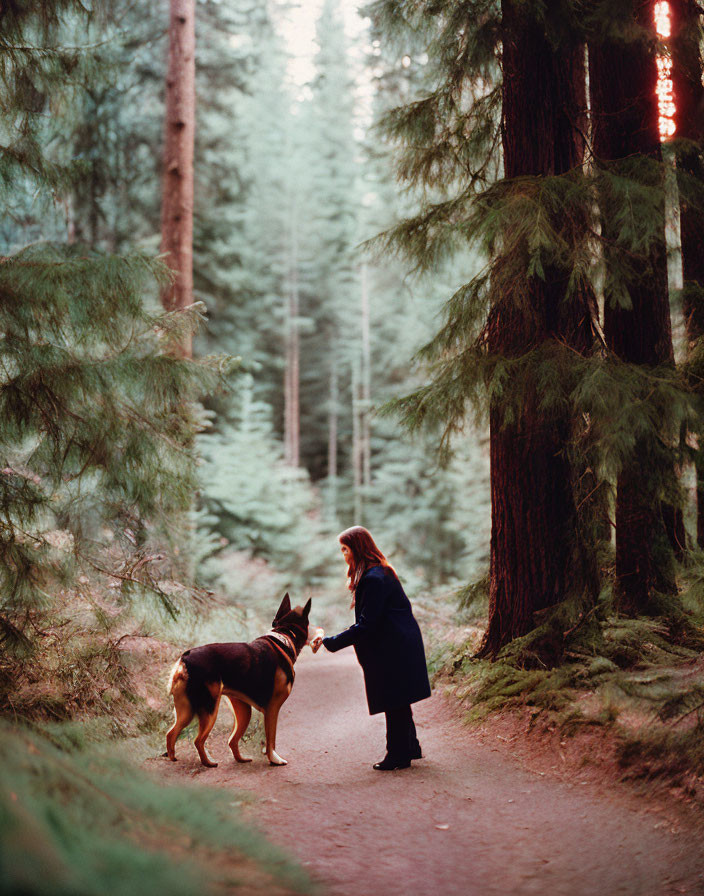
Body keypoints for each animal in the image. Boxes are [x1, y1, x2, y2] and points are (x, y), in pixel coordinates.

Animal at [165, 600, 320, 768]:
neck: (284, 636)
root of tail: (185, 658)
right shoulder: (272, 709)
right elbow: (271, 740)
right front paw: (274, 760)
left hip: (206, 711)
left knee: (174, 734)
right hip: (210, 710)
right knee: (198, 740)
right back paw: (208, 763)